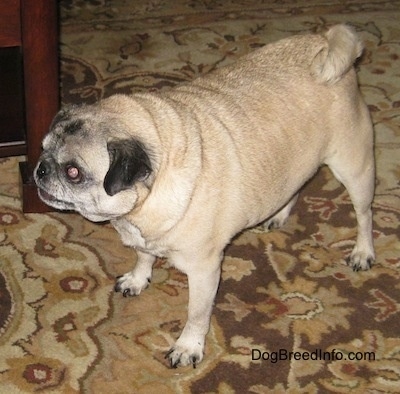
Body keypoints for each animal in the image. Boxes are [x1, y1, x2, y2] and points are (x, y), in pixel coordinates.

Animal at [34, 23, 376, 370]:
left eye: (73, 172)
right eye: (43, 148)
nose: (41, 170)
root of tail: (324, 42)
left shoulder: (204, 271)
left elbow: (196, 315)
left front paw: (189, 346)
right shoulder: (143, 238)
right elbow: (144, 256)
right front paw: (138, 278)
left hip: (354, 168)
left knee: (364, 215)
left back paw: (362, 251)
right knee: (296, 186)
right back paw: (279, 214)